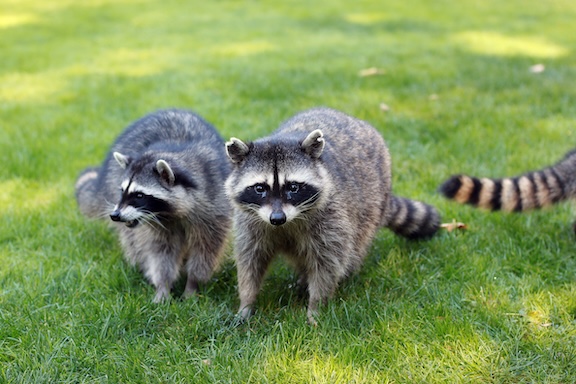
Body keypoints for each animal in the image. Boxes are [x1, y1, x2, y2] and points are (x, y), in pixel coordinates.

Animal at [75, 109, 232, 304]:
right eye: (122, 191)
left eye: (139, 195)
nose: (115, 215)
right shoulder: (157, 225)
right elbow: (161, 252)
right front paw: (163, 286)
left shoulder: (214, 207)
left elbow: (206, 250)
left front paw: (192, 284)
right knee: (133, 241)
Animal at [223, 106, 438, 324]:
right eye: (260, 188)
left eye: (293, 187)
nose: (277, 218)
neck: (287, 223)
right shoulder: (250, 223)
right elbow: (250, 261)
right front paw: (246, 302)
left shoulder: (331, 216)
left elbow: (327, 263)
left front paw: (316, 305)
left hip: (372, 203)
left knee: (355, 246)